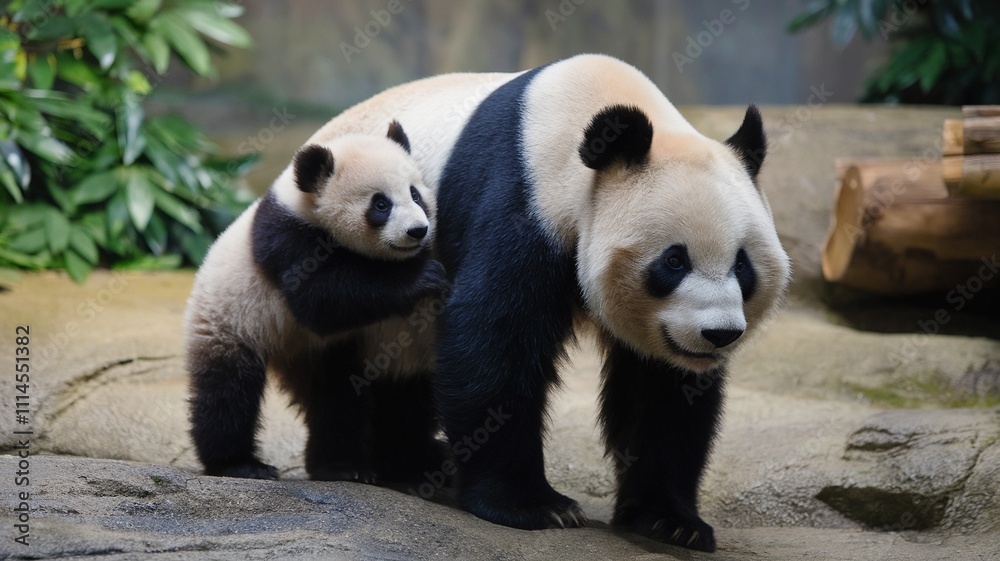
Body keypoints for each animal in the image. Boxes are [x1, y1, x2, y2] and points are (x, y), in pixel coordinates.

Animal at [185, 122, 448, 484]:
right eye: (380, 205)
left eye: (415, 194)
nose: (418, 231)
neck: (307, 203)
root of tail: (289, 352)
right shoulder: (286, 240)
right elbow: (321, 299)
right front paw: (422, 277)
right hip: (230, 320)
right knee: (227, 392)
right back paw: (238, 463)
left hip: (337, 349)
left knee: (342, 394)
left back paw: (351, 464)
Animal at [305, 54, 790, 552]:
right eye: (674, 261)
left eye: (742, 265)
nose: (720, 334)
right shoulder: (523, 199)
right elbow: (493, 342)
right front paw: (531, 505)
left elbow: (663, 390)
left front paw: (670, 520)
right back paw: (367, 464)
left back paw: (417, 459)